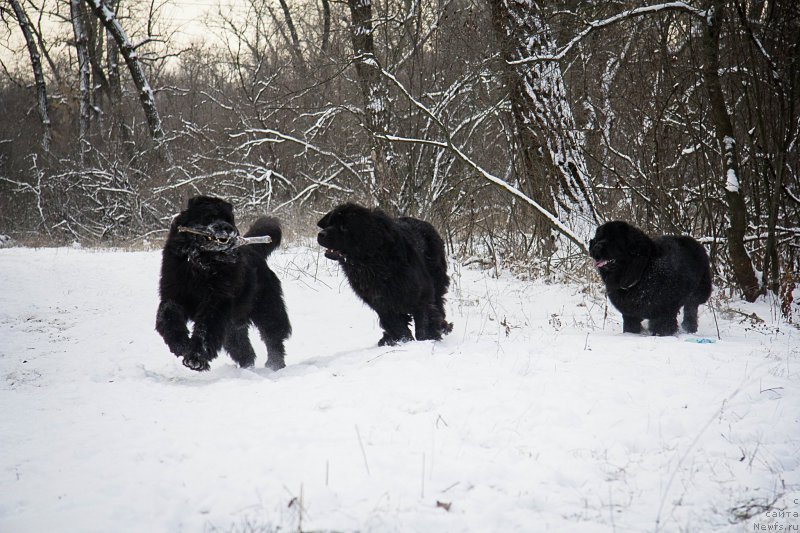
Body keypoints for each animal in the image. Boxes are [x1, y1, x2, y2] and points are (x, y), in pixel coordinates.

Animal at [155, 195, 290, 370]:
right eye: (209, 217)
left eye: (228, 219)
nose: (227, 229)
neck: (201, 264)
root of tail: (254, 250)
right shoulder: (174, 294)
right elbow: (168, 314)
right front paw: (180, 344)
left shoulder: (216, 302)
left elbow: (205, 329)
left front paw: (196, 358)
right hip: (234, 326)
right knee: (243, 349)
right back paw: (247, 367)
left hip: (266, 307)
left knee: (273, 336)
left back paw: (274, 364)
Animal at [318, 203, 456, 344]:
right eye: (330, 223)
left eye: (344, 227)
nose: (321, 234)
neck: (372, 261)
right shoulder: (380, 301)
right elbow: (397, 325)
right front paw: (405, 341)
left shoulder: (421, 294)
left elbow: (424, 320)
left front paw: (427, 339)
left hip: (437, 281)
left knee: (438, 305)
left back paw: (443, 327)